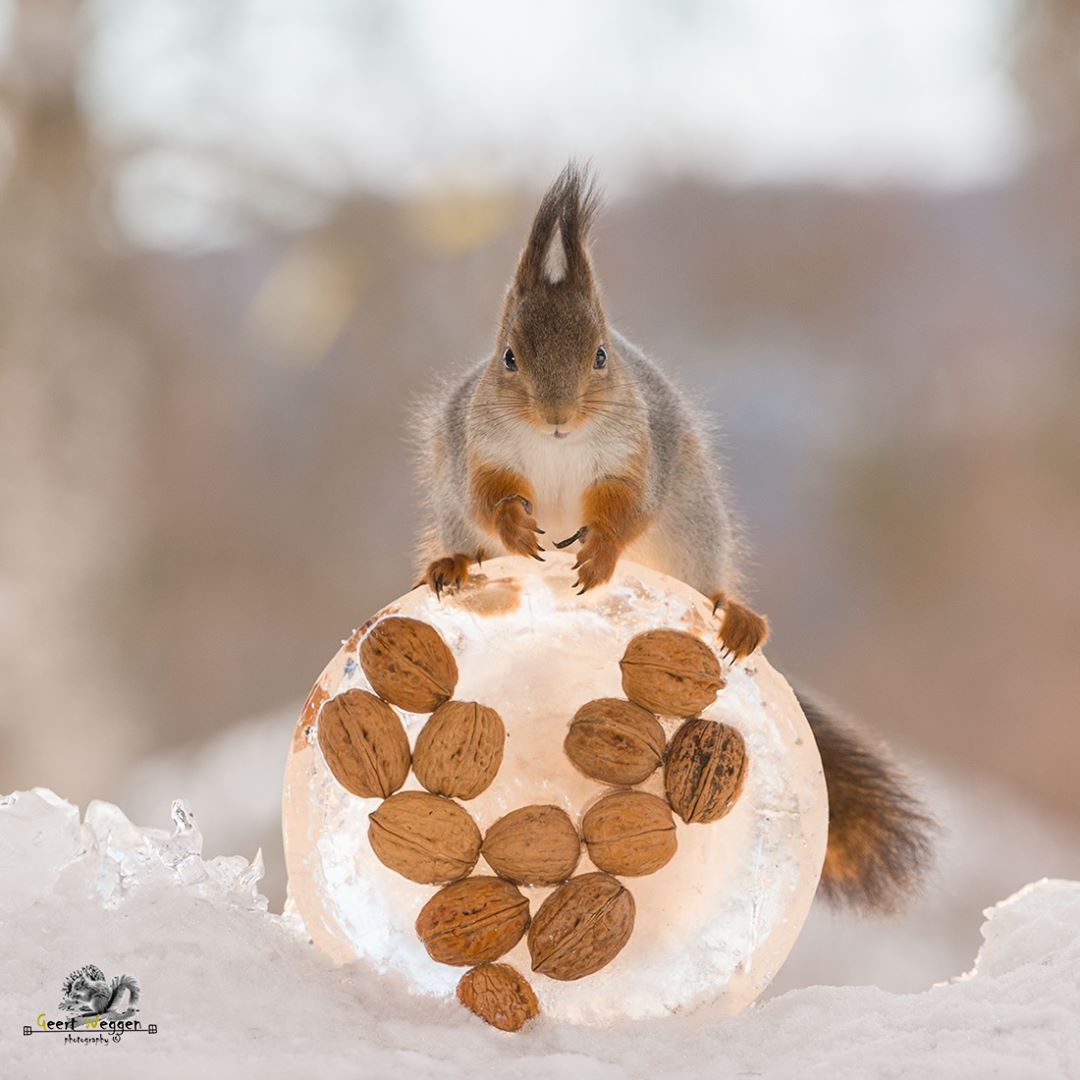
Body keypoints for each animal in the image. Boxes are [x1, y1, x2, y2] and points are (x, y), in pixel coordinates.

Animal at [408, 164, 933, 915]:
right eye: (507, 357)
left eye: (601, 355)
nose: (558, 415)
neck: (556, 449)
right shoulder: (474, 451)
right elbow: (490, 497)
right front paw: (516, 527)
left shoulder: (638, 454)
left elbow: (625, 511)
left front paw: (597, 555)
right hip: (452, 510)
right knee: (467, 539)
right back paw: (458, 567)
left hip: (692, 523)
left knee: (704, 582)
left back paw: (732, 615)